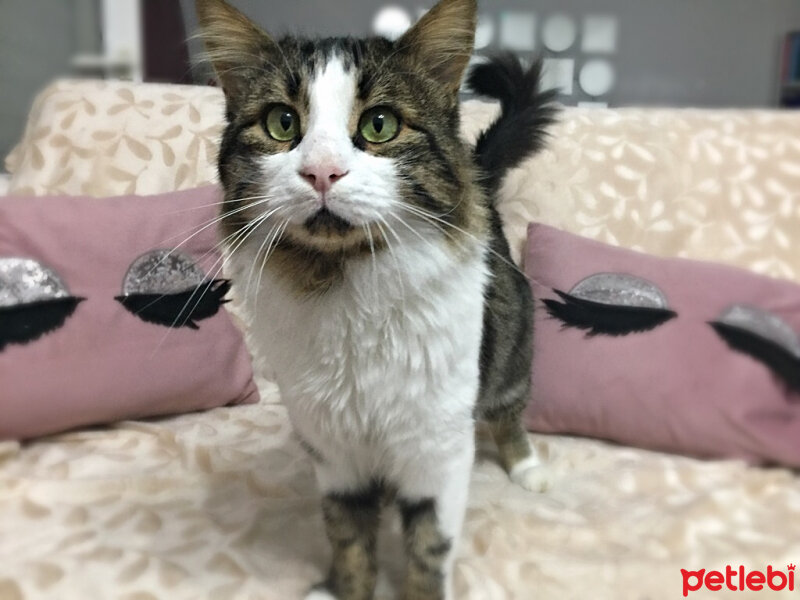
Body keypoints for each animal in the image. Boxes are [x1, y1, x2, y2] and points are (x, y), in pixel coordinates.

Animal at [195, 0, 556, 596]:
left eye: (379, 125)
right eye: (282, 123)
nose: (321, 171)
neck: (346, 290)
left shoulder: (436, 453)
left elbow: (428, 553)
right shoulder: (335, 455)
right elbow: (349, 543)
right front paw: (343, 586)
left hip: (509, 349)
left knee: (510, 413)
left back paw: (528, 468)